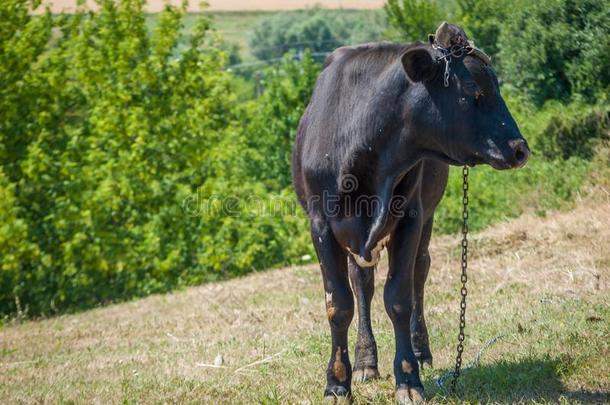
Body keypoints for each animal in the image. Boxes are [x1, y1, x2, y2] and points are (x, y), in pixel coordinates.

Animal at [290, 22, 528, 404]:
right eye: (471, 91)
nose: (520, 148)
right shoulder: (321, 225)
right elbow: (338, 303)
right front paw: (337, 382)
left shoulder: (410, 218)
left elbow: (399, 298)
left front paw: (408, 378)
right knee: (363, 284)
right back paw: (366, 362)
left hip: (425, 219)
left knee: (419, 272)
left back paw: (420, 350)